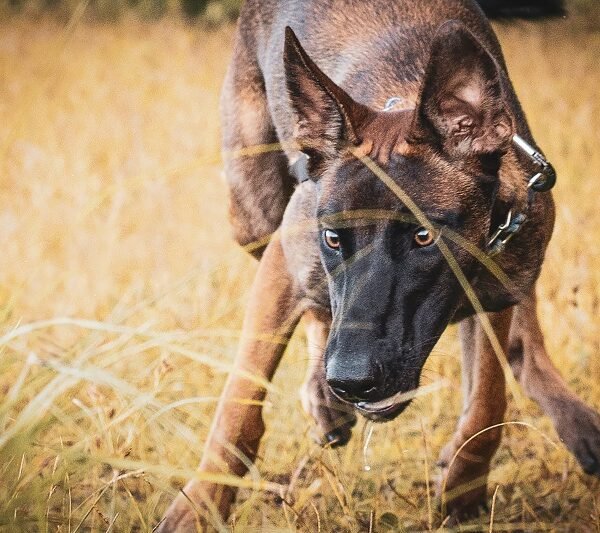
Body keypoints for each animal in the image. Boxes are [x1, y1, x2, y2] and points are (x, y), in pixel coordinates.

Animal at [159, 1, 600, 528]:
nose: (350, 381)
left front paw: (463, 484)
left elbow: (488, 401)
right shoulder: (285, 262)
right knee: (313, 306)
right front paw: (202, 503)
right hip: (253, 217)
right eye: (333, 238)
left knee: (523, 345)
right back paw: (322, 396)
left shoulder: (497, 288)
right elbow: (239, 404)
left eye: (424, 236)